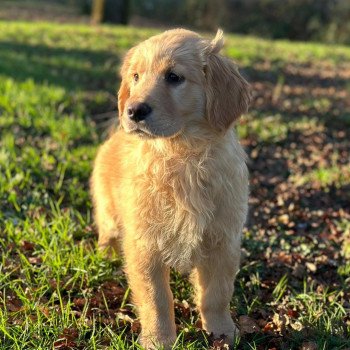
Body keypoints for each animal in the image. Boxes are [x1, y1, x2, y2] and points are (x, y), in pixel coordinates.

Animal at [91, 28, 252, 348]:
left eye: (174, 77)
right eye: (136, 76)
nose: (133, 111)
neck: (182, 157)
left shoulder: (223, 240)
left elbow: (216, 294)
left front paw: (222, 332)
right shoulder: (145, 245)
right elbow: (157, 300)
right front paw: (159, 339)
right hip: (109, 213)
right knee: (106, 234)